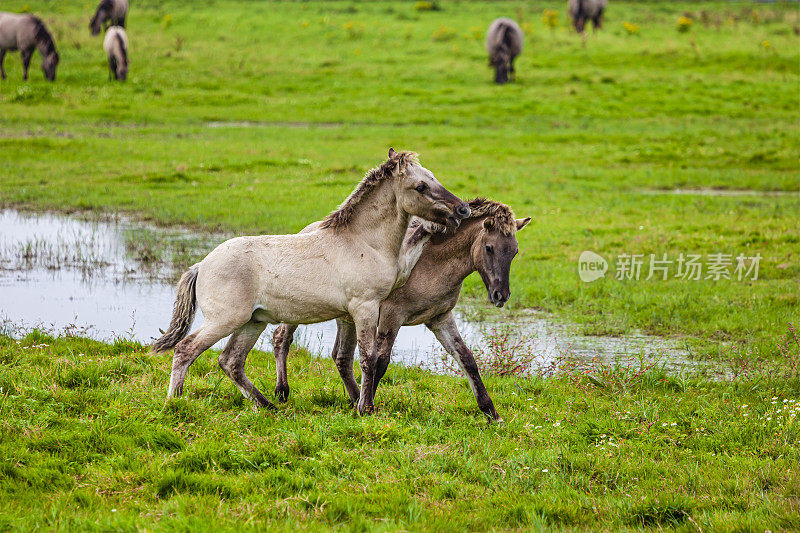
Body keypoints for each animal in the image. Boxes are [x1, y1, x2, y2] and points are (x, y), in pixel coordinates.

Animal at [153, 148, 472, 414]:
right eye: (421, 186)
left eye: (434, 178)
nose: (463, 210)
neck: (364, 242)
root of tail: (201, 265)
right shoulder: (365, 307)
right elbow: (368, 358)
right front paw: (365, 409)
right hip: (226, 320)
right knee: (186, 350)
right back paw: (175, 402)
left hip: (252, 322)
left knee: (231, 361)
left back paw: (268, 405)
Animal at [272, 197, 528, 422]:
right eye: (489, 248)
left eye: (514, 251)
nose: (501, 296)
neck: (432, 261)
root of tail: (305, 231)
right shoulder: (391, 315)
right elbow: (380, 362)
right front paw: (368, 407)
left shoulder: (440, 318)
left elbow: (466, 359)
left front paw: (491, 413)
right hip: (298, 306)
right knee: (282, 338)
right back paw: (282, 392)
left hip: (348, 318)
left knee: (341, 357)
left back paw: (353, 398)